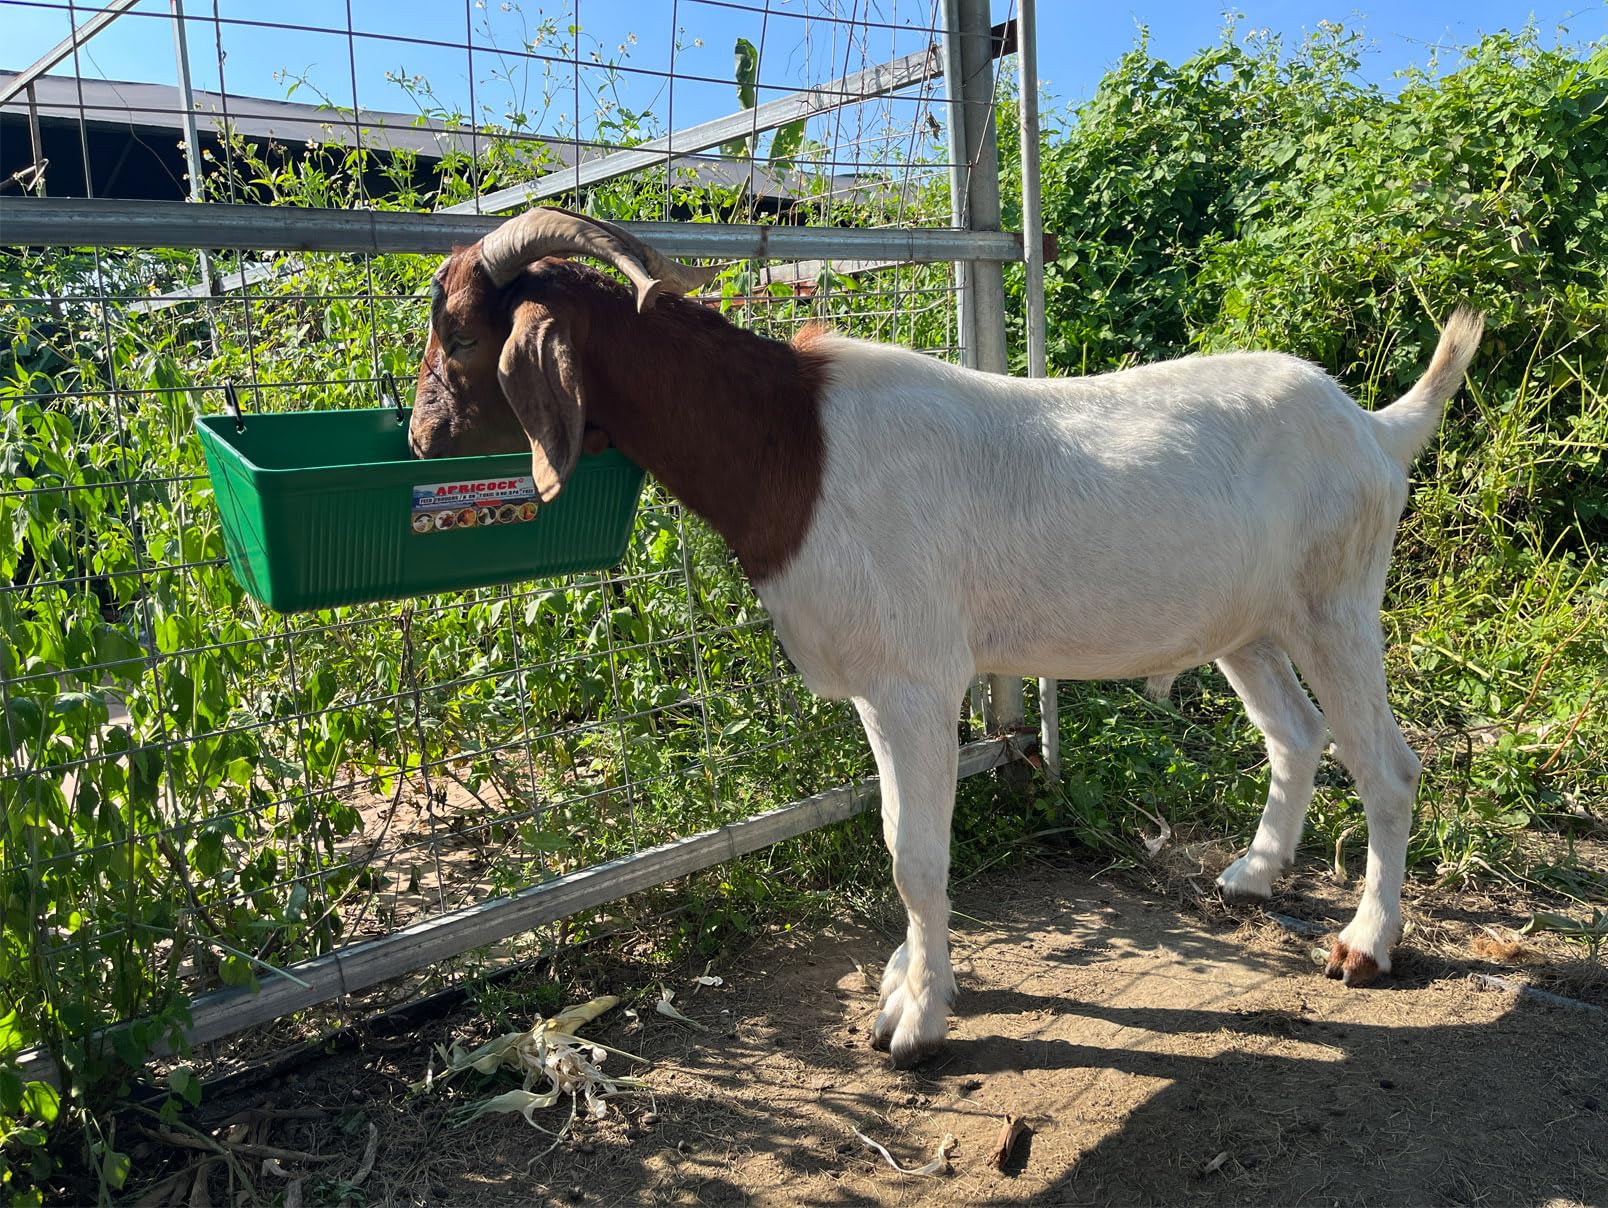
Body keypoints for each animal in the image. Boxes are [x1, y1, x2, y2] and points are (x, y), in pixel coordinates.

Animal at [410, 206, 1484, 1067]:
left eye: (457, 337)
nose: (419, 436)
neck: (790, 446)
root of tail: (1376, 428)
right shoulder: (880, 690)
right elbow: (901, 832)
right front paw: (907, 975)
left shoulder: (913, 679)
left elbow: (913, 854)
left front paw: (918, 1018)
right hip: (1249, 623)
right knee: (1295, 735)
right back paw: (1256, 874)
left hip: (1335, 601)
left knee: (1388, 765)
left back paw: (1366, 943)